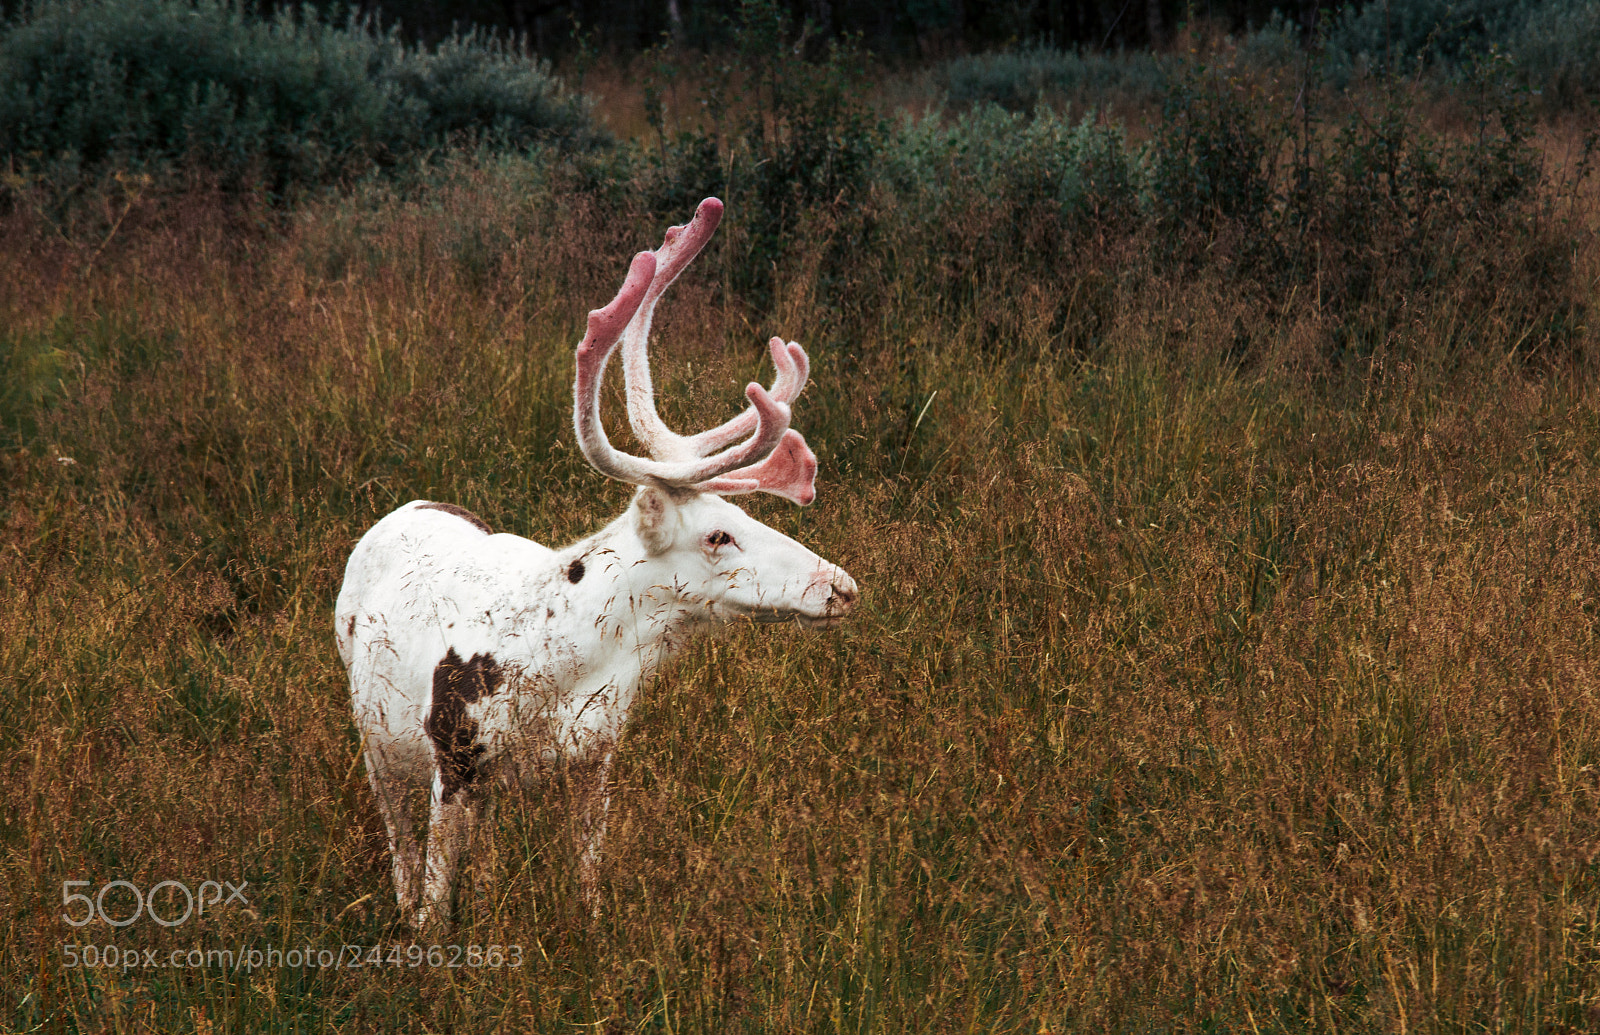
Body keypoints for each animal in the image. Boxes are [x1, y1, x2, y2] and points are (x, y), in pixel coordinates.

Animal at [334, 198, 858, 928]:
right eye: (719, 535)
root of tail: (404, 506)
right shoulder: (453, 756)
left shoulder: (595, 757)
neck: (572, 664)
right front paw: (428, 938)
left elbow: (588, 881)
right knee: (399, 846)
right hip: (375, 736)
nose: (841, 585)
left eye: (749, 518)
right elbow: (437, 904)